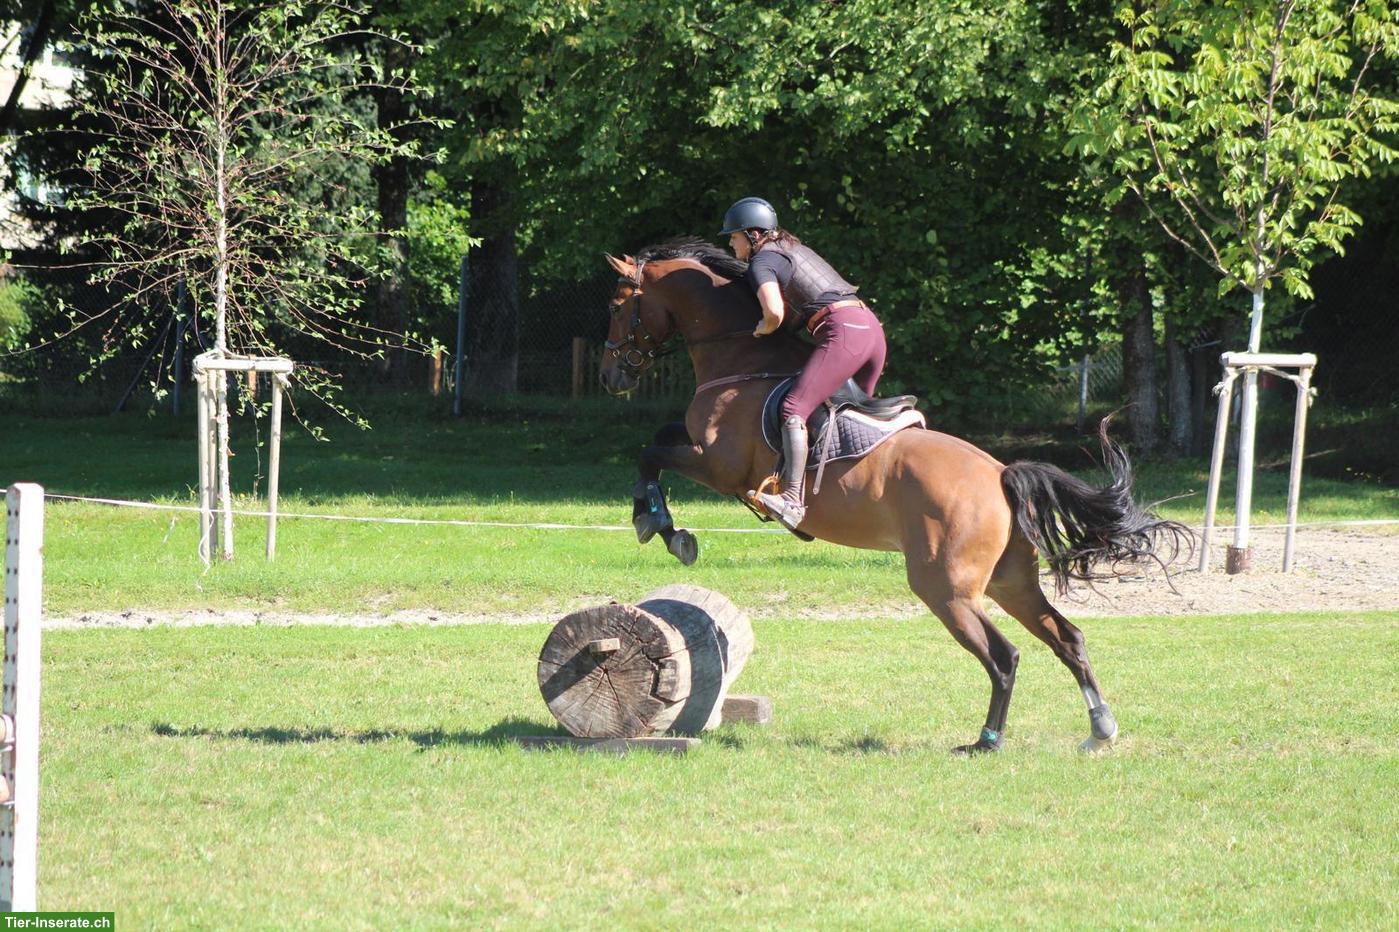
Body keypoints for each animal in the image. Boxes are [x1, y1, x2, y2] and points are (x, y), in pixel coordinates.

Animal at [598, 238, 1190, 754]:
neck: (739, 357)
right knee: (1068, 638)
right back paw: (1100, 731)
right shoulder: (702, 450)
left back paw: (986, 742)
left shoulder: (718, 466)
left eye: (617, 305)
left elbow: (651, 453)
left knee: (1005, 656)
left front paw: (659, 525)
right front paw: (659, 522)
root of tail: (1000, 474)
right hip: (1009, 582)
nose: (609, 376)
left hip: (945, 588)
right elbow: (659, 439)